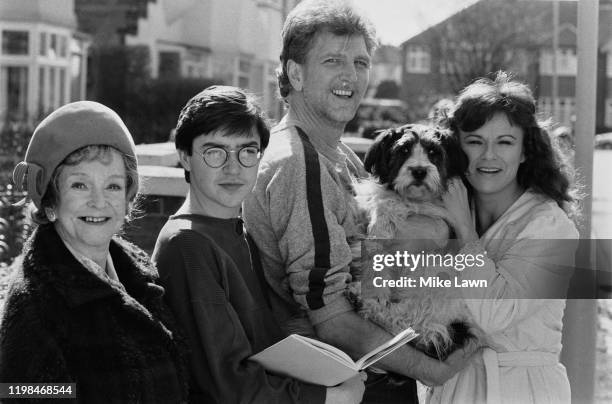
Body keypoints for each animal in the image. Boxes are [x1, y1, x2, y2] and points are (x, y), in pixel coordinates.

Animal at [352, 124, 486, 360]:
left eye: (433, 152)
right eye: (403, 150)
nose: (419, 171)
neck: (414, 199)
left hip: (438, 280)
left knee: (415, 323)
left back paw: (368, 305)